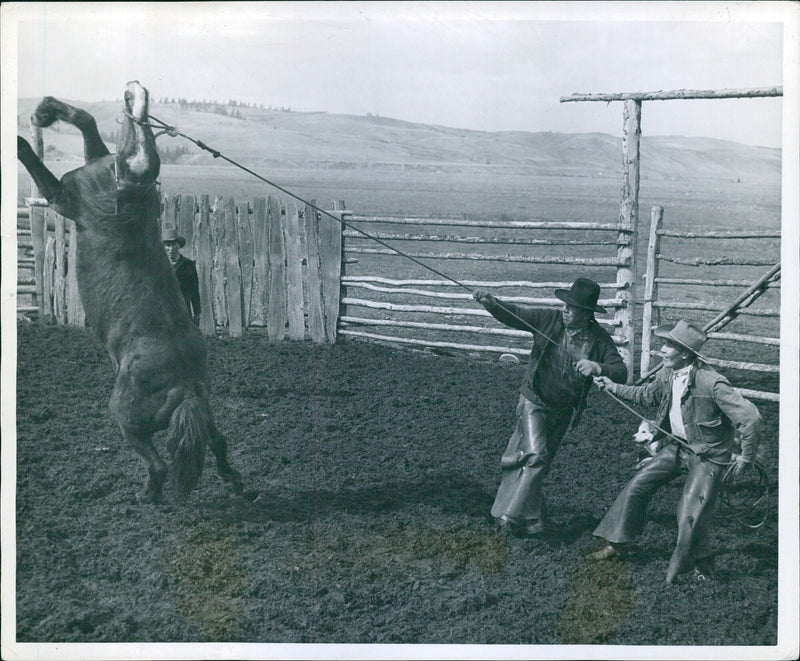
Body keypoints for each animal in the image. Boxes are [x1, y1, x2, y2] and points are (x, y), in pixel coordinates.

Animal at [18, 82, 244, 502]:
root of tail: (185, 388)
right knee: (219, 442)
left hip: (125, 417)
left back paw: (148, 495)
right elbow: (89, 124)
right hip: (204, 412)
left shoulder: (64, 197)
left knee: (157, 464)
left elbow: (33, 150)